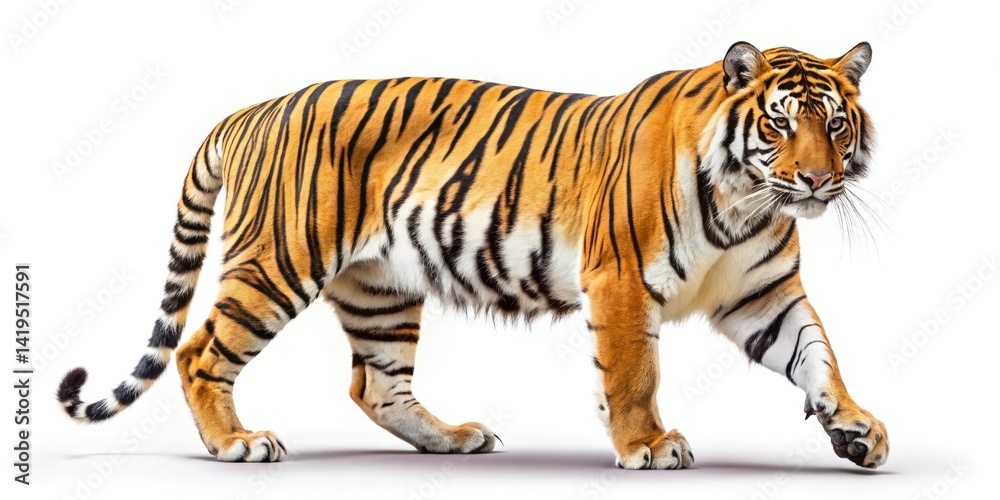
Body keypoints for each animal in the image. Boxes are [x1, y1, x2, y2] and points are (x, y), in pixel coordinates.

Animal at [58, 41, 888, 469]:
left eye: (835, 125)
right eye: (780, 124)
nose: (819, 179)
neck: (751, 200)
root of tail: (248, 110)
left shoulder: (763, 294)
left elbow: (817, 354)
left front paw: (856, 427)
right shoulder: (620, 279)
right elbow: (633, 373)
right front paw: (647, 446)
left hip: (381, 289)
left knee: (375, 385)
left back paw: (453, 438)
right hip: (277, 262)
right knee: (200, 351)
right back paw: (236, 442)